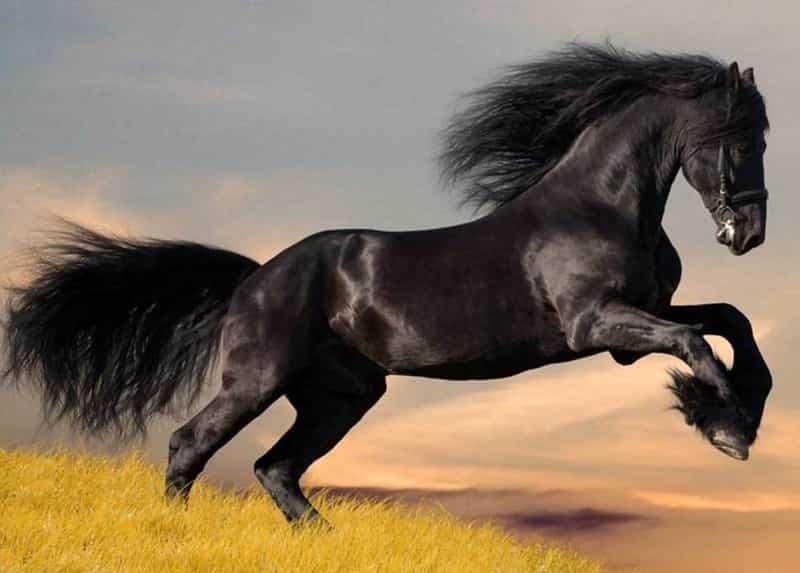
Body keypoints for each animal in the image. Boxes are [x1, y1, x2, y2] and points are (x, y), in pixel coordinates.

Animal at [2, 44, 772, 525]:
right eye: (741, 136)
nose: (750, 234)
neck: (601, 205)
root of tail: (256, 277)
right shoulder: (597, 326)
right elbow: (696, 343)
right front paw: (725, 427)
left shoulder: (635, 322)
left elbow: (730, 320)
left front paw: (737, 411)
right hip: (258, 379)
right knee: (191, 444)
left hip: (342, 395)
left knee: (275, 467)